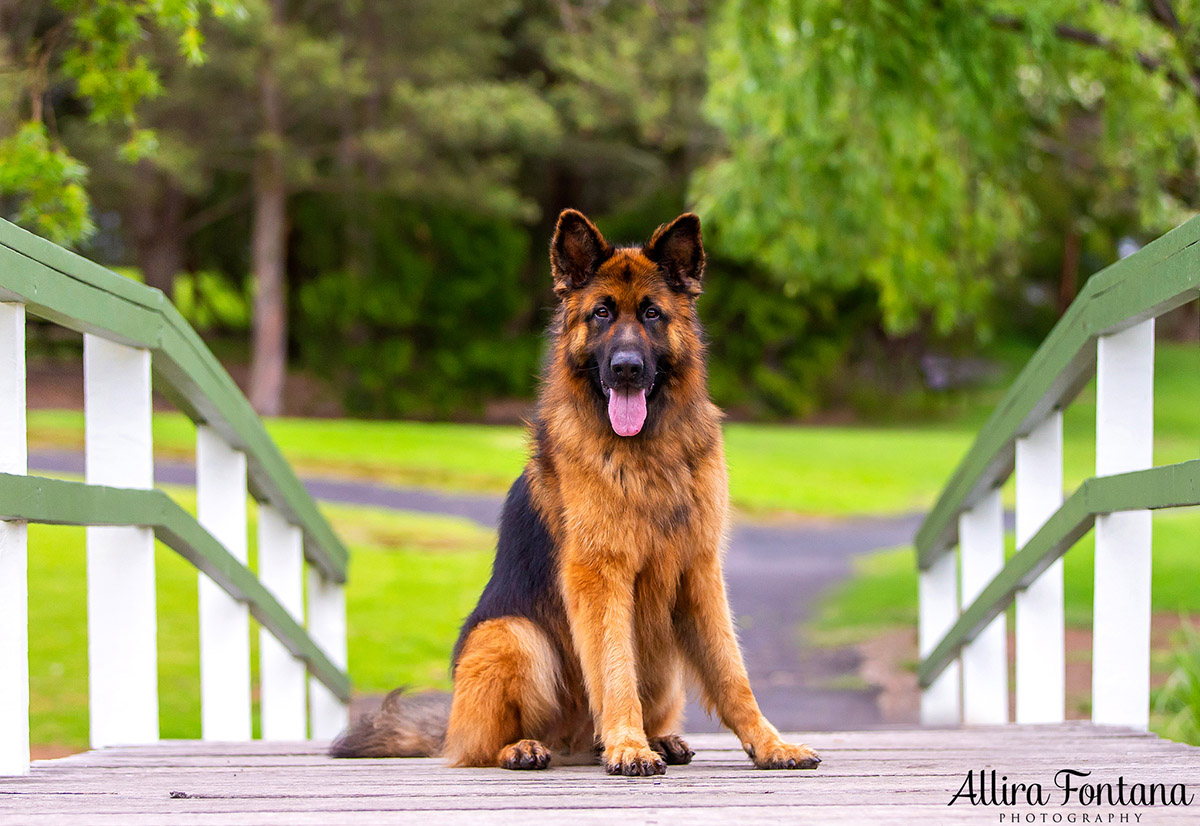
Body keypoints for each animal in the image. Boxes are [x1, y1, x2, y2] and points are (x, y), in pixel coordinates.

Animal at [333, 207, 820, 773]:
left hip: (662, 659)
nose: (627, 368)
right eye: (602, 314)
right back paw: (527, 747)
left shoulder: (699, 573)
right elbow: (615, 669)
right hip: (511, 635)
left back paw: (660, 738)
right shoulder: (599, 576)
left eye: (652, 314)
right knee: (477, 747)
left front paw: (769, 743)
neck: (646, 453)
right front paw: (628, 745)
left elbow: (732, 673)